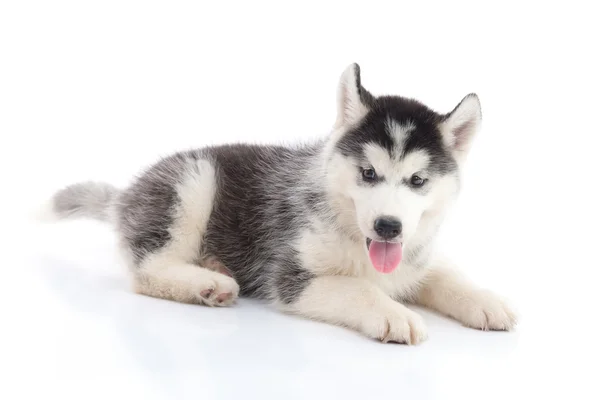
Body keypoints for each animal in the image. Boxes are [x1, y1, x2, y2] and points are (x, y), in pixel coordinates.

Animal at [44, 63, 516, 344]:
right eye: (368, 173)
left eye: (417, 180)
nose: (388, 226)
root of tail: (126, 194)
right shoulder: (289, 275)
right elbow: (357, 287)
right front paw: (392, 312)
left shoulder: (415, 256)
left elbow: (446, 274)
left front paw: (484, 299)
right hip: (192, 183)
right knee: (147, 269)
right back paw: (206, 284)